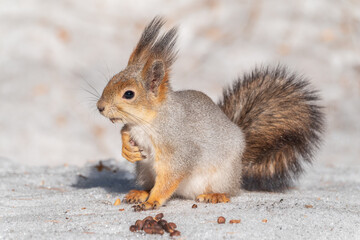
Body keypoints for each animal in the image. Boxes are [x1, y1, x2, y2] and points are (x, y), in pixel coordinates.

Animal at [97, 16, 324, 211]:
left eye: (129, 94)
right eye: (111, 80)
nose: (100, 107)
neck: (146, 123)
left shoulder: (180, 148)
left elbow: (170, 177)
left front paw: (153, 201)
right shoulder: (134, 129)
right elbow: (124, 131)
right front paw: (128, 150)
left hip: (222, 175)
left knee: (230, 191)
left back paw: (215, 195)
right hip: (145, 171)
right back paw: (140, 192)